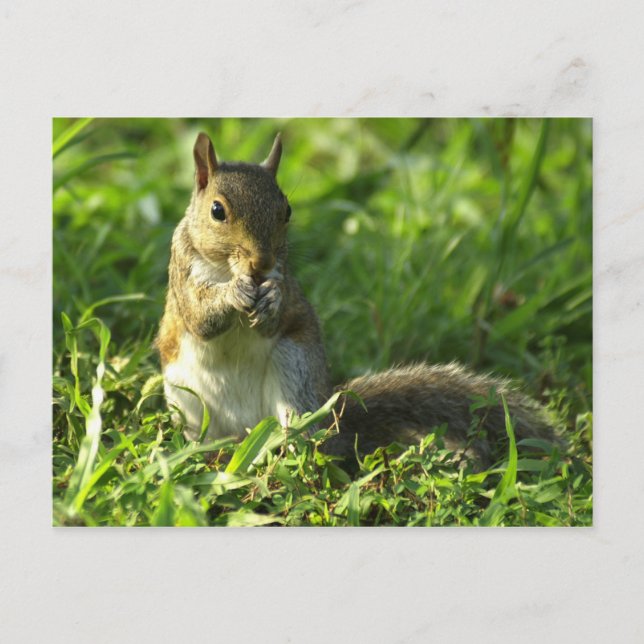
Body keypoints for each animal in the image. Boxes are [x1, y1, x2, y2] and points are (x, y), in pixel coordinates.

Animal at [156, 132, 560, 467]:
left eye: (286, 210)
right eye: (217, 211)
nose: (261, 263)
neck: (228, 269)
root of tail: (242, 434)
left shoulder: (285, 284)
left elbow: (279, 311)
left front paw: (270, 299)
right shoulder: (182, 272)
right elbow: (199, 316)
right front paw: (233, 294)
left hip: (296, 369)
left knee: (300, 434)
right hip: (186, 400)